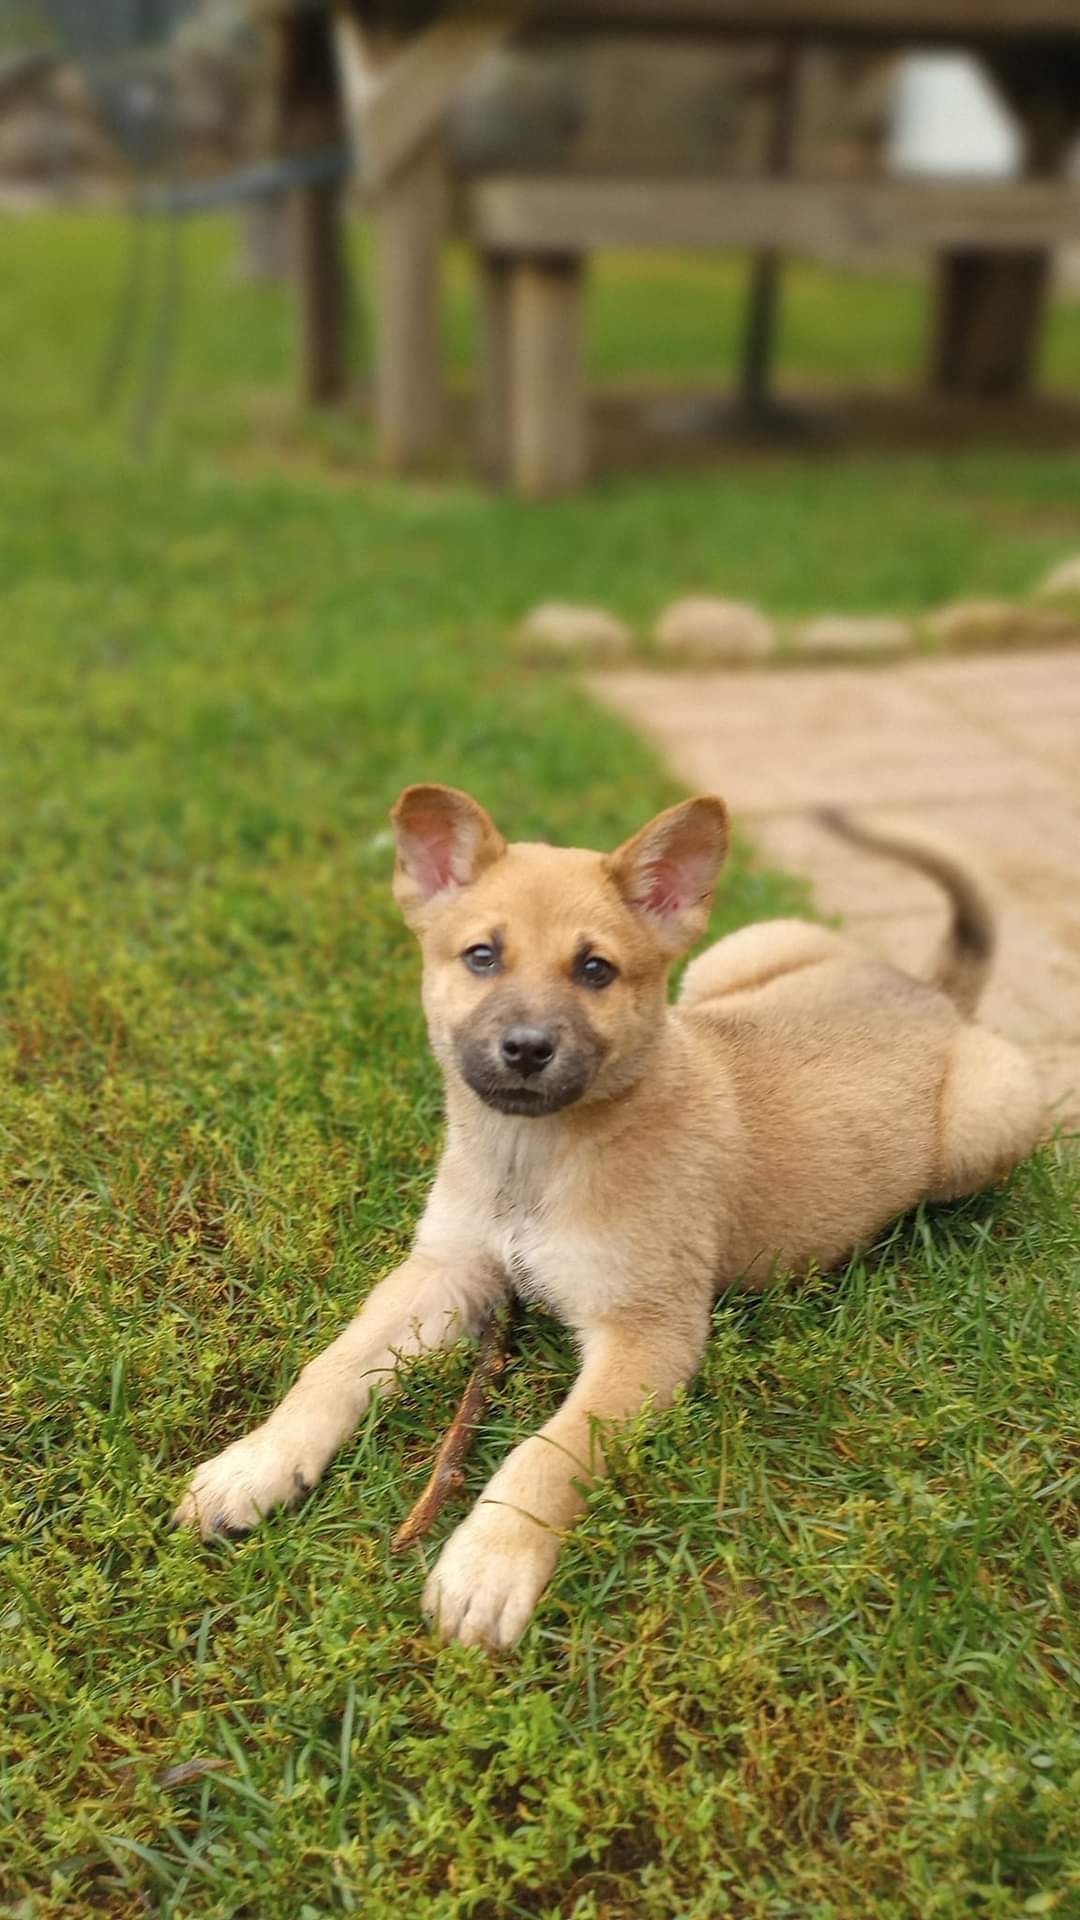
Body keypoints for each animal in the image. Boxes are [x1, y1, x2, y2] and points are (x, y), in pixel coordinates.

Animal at [171, 787, 1037, 1643]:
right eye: (481, 956)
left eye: (596, 970)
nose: (526, 1049)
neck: (533, 1160)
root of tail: (930, 993)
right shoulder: (446, 1272)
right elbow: (332, 1367)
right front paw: (254, 1464)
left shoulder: (647, 1334)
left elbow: (549, 1450)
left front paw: (489, 1562)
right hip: (736, 957)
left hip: (991, 1122)